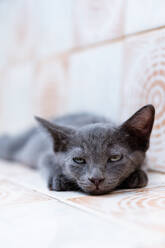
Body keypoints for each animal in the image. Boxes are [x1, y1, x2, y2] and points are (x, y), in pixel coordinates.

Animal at [0, 103, 155, 195]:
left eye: (115, 158)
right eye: (79, 160)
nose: (96, 179)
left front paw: (138, 175)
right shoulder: (46, 155)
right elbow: (47, 163)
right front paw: (58, 178)